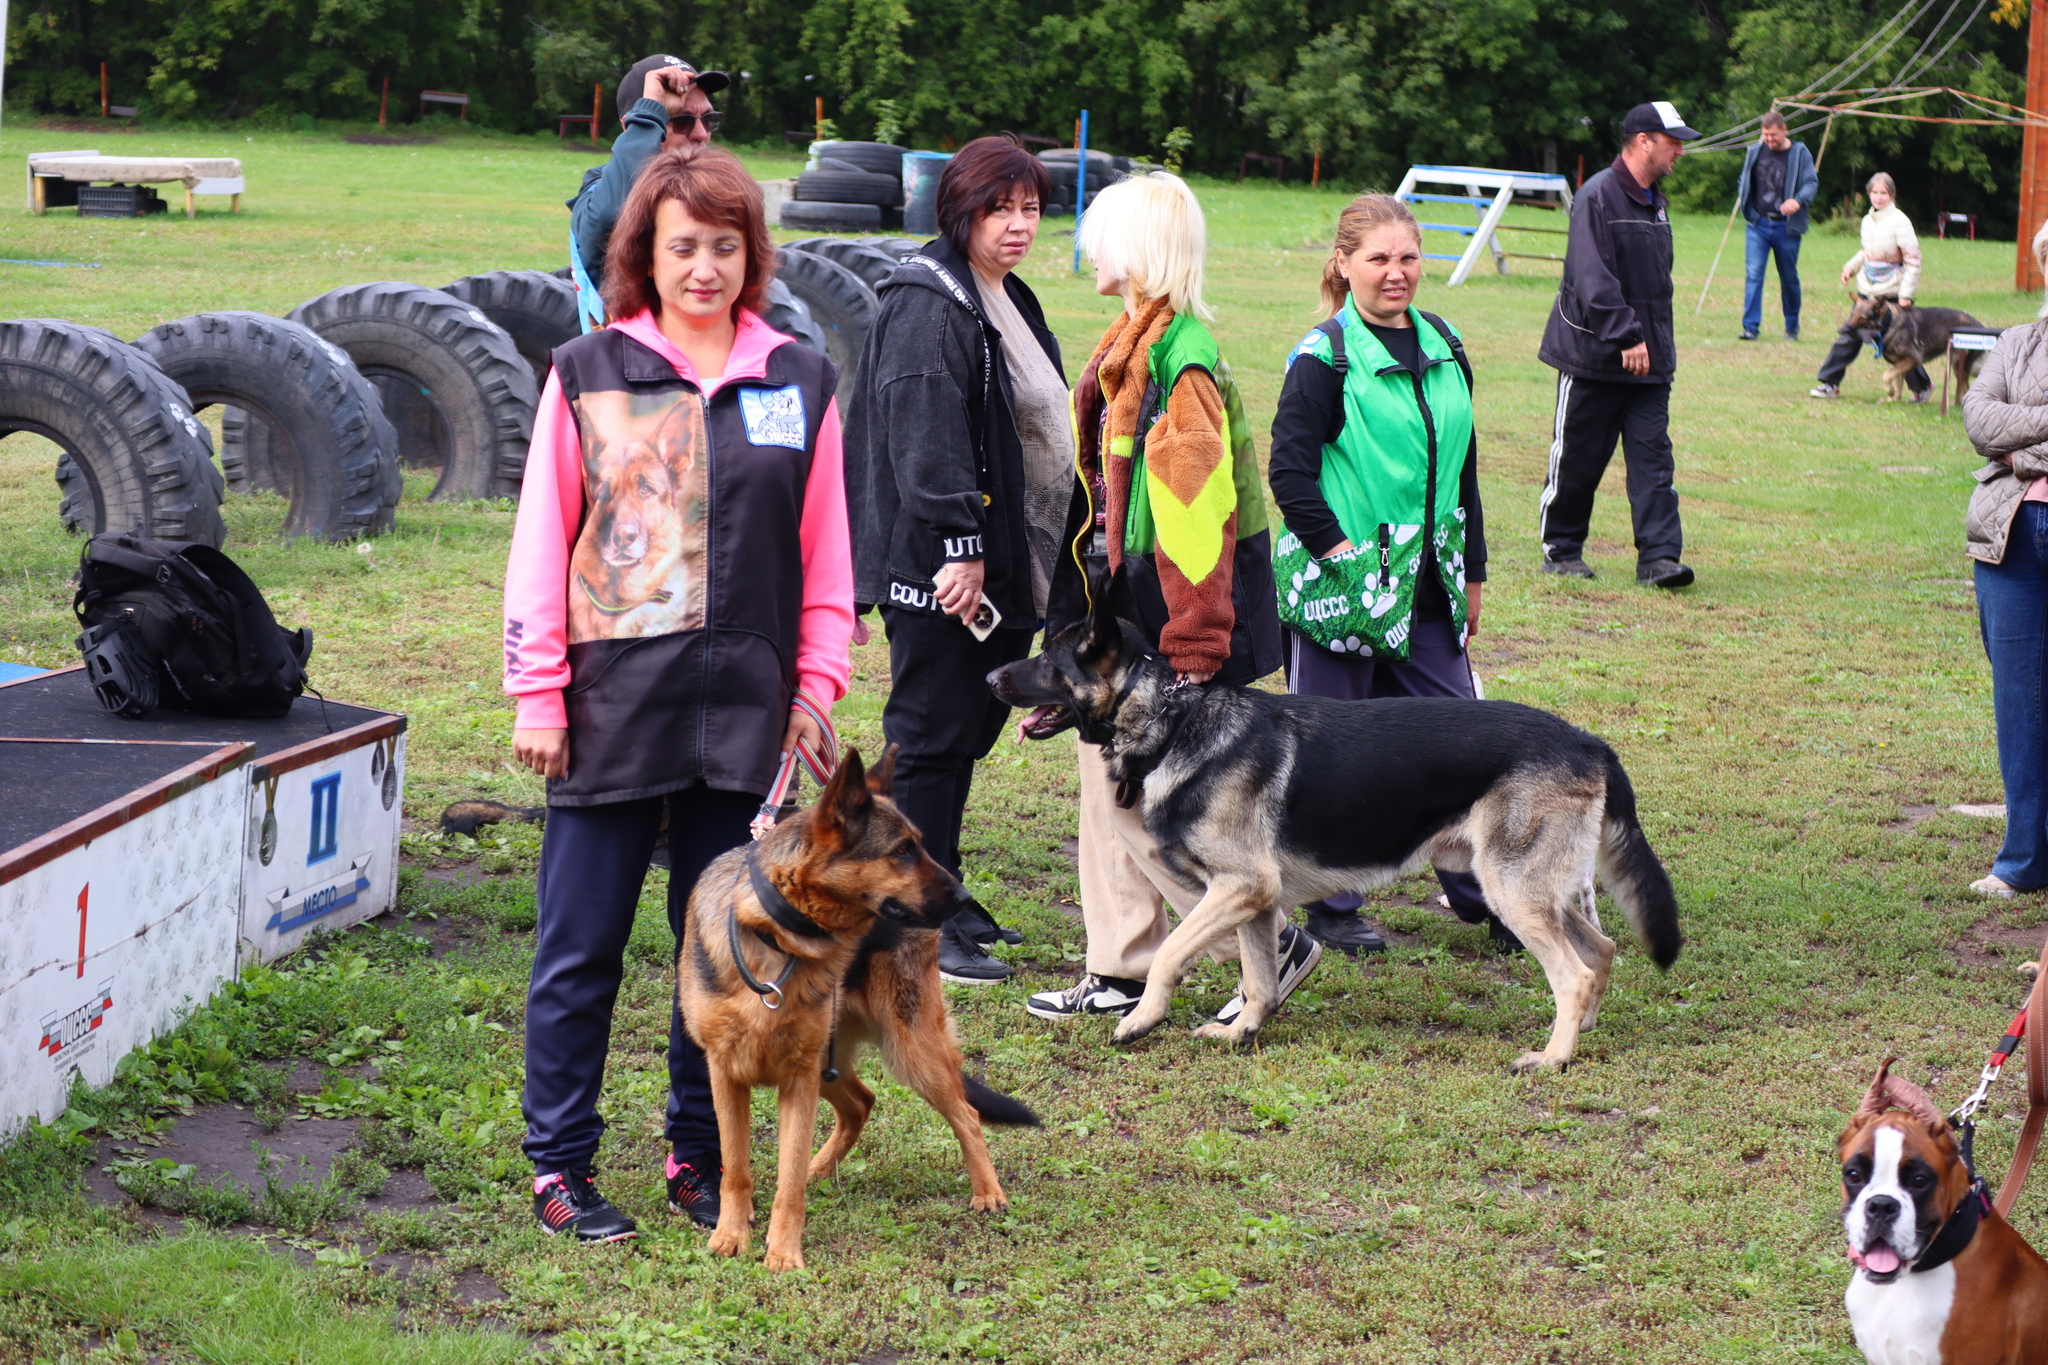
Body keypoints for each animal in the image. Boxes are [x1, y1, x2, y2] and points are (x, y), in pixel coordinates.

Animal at [679, 749, 1040, 1268]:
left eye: (918, 846)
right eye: (902, 850)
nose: (966, 899)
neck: (779, 939)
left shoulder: (798, 1079)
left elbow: (787, 1181)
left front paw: (783, 1253)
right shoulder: (727, 1075)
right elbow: (736, 1168)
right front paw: (731, 1234)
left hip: (907, 1053)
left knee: (966, 1115)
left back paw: (988, 1192)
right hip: (832, 1065)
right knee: (861, 1103)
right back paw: (821, 1168)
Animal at [987, 573, 1679, 1072]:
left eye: (1048, 662)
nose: (991, 674)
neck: (1171, 718)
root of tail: (1591, 743)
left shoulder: (1238, 888)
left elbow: (1168, 954)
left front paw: (1139, 1019)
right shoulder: (1255, 901)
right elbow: (1259, 979)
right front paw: (1243, 1032)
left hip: (1512, 890)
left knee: (1575, 972)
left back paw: (1554, 1057)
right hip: (1542, 892)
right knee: (1602, 951)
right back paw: (1582, 1031)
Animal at [1843, 298, 1982, 405]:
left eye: (1863, 318)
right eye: (1852, 315)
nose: (1844, 330)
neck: (1889, 324)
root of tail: (1980, 325)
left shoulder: (1912, 360)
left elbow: (1886, 375)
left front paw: (1890, 391)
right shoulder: (1898, 364)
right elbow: (1898, 383)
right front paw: (1894, 399)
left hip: (1958, 366)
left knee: (1966, 387)